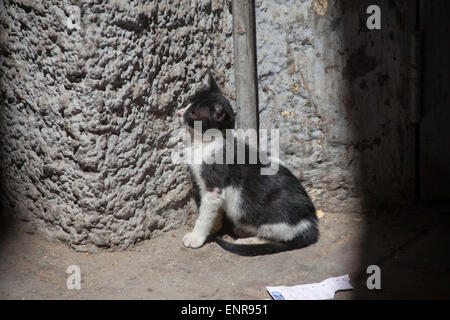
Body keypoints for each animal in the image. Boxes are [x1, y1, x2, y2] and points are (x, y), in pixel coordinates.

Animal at [176, 72, 320, 255]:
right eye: (188, 101)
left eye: (194, 114)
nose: (179, 112)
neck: (205, 142)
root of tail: (310, 223)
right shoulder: (214, 191)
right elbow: (215, 211)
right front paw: (214, 227)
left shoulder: (213, 186)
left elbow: (204, 215)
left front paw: (196, 237)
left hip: (272, 212)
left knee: (278, 237)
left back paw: (246, 239)